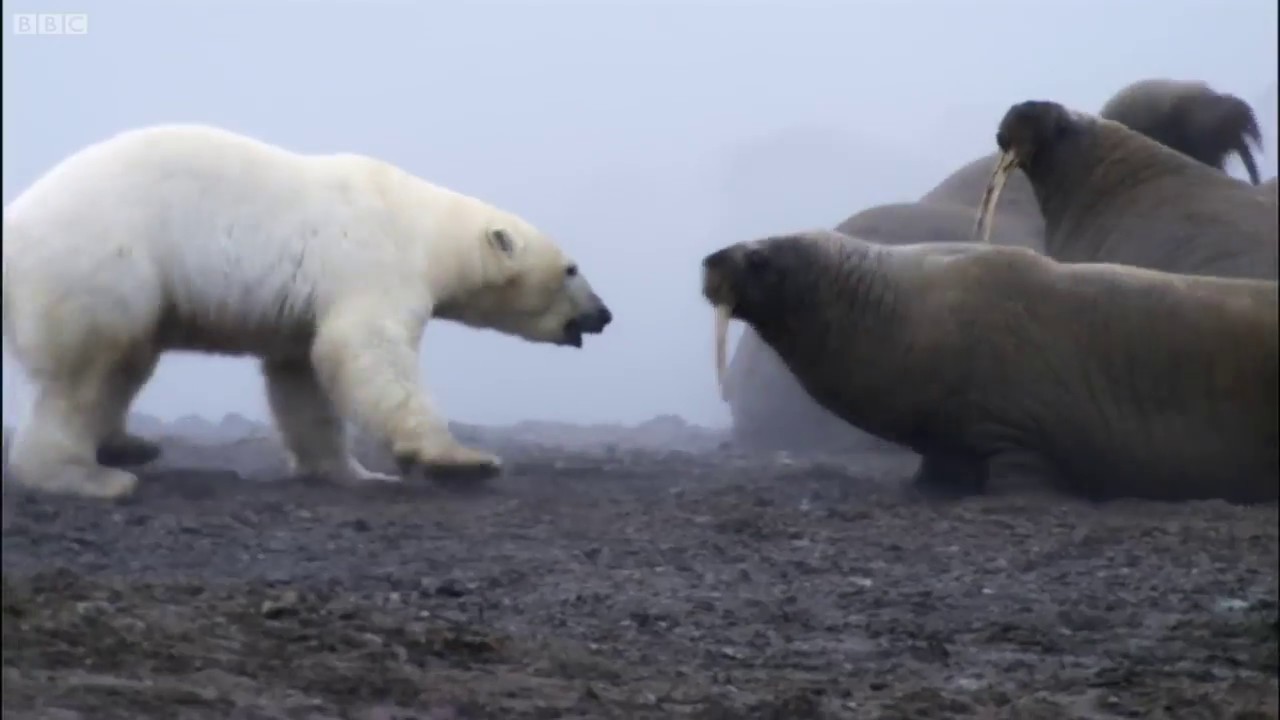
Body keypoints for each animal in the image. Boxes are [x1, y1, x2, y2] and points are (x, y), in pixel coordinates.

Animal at [0, 122, 611, 497]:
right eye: (571, 269)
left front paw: (353, 473)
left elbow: (302, 379)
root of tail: (13, 225)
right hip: (104, 265)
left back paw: (129, 445)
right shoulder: (371, 258)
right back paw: (88, 476)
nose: (604, 314)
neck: (421, 225)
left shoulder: (305, 307)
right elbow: (367, 353)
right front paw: (461, 461)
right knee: (95, 369)